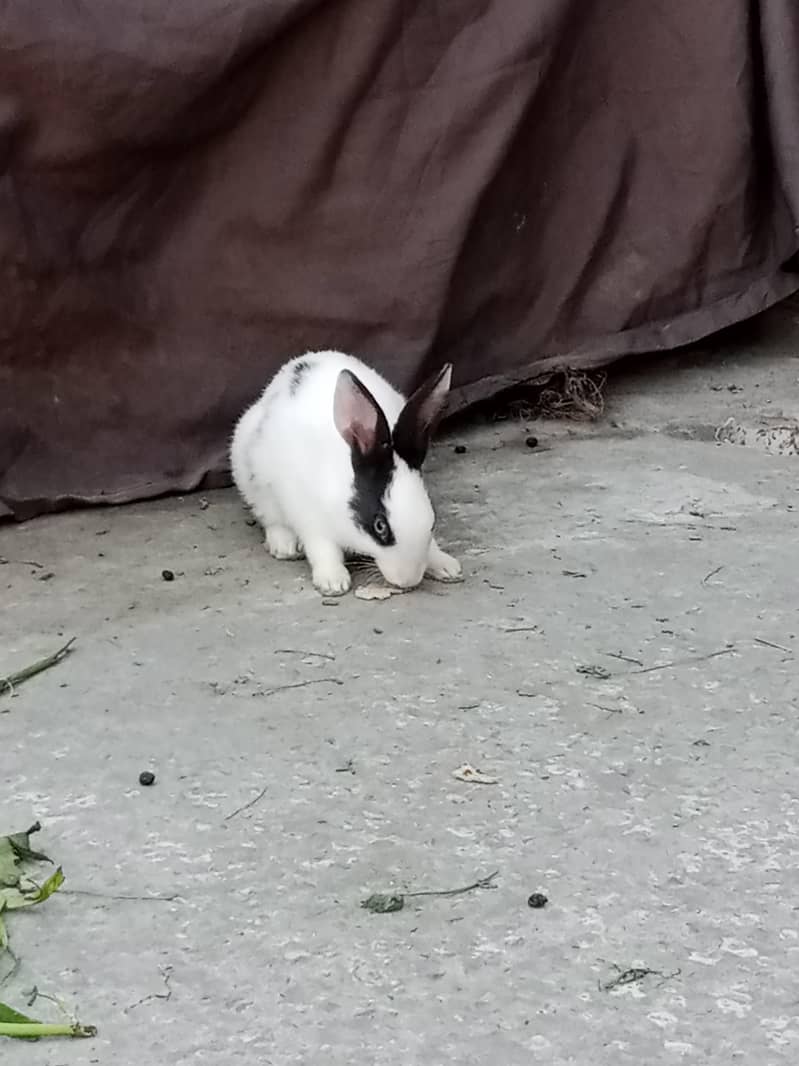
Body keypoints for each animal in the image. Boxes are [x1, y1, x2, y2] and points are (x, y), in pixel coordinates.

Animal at [230, 350, 463, 596]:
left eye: (432, 521)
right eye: (380, 526)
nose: (407, 580)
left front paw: (446, 565)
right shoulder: (311, 519)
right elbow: (323, 550)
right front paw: (333, 582)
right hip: (253, 480)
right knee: (271, 518)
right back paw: (285, 546)